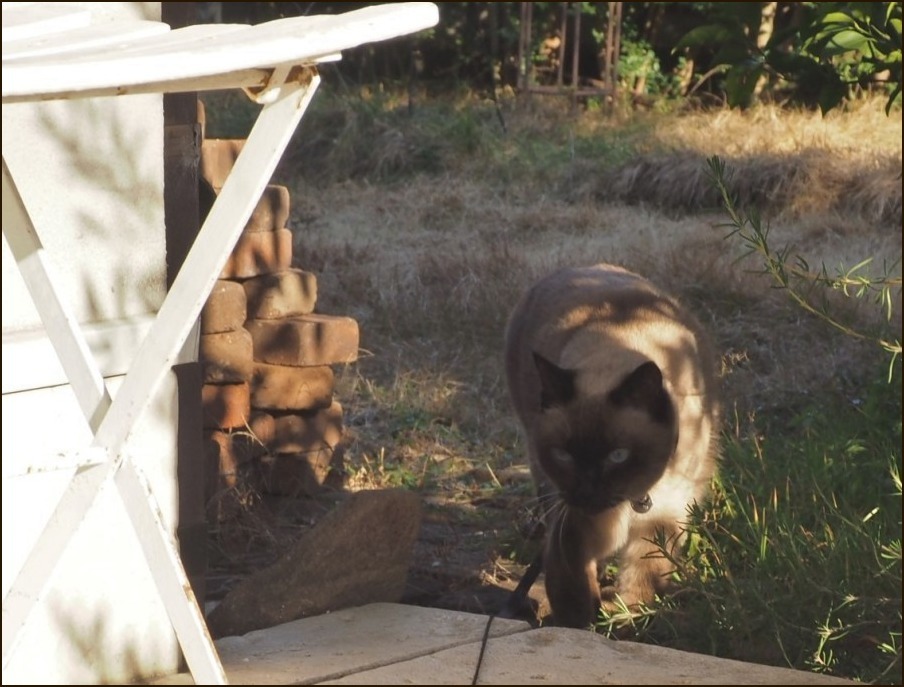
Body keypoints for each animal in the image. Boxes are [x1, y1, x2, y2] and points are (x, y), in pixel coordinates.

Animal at [502, 264, 720, 628]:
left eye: (618, 456)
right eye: (564, 454)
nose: (587, 492)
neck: (633, 502)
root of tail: (574, 267)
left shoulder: (660, 520)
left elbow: (643, 580)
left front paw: (625, 617)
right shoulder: (571, 524)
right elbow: (572, 590)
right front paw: (581, 626)